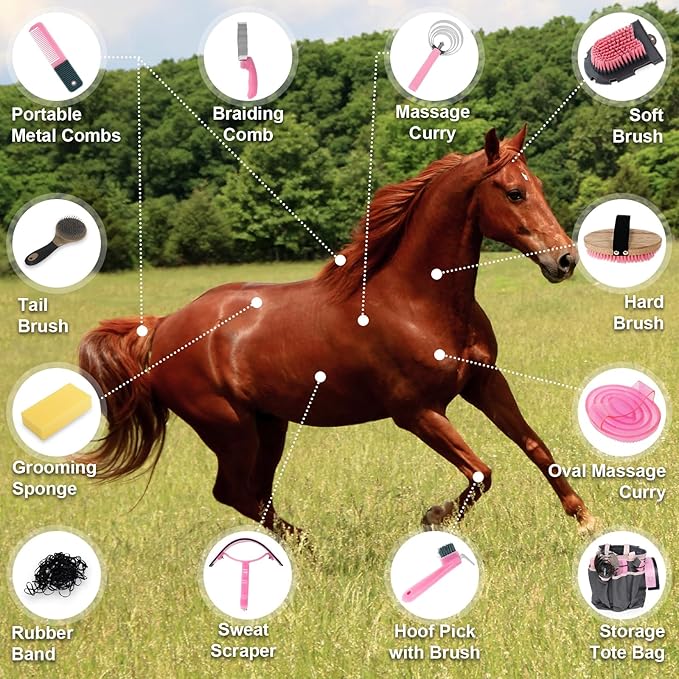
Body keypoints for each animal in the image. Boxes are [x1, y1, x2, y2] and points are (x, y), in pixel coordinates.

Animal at [78, 126, 596, 536]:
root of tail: (161, 328)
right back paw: (310, 550)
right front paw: (433, 516)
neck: (416, 301)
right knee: (234, 492)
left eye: (538, 185)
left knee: (251, 494)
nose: (565, 260)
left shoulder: (485, 382)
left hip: (269, 426)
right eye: (513, 192)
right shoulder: (417, 412)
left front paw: (586, 519)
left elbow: (535, 446)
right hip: (230, 430)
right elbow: (481, 473)